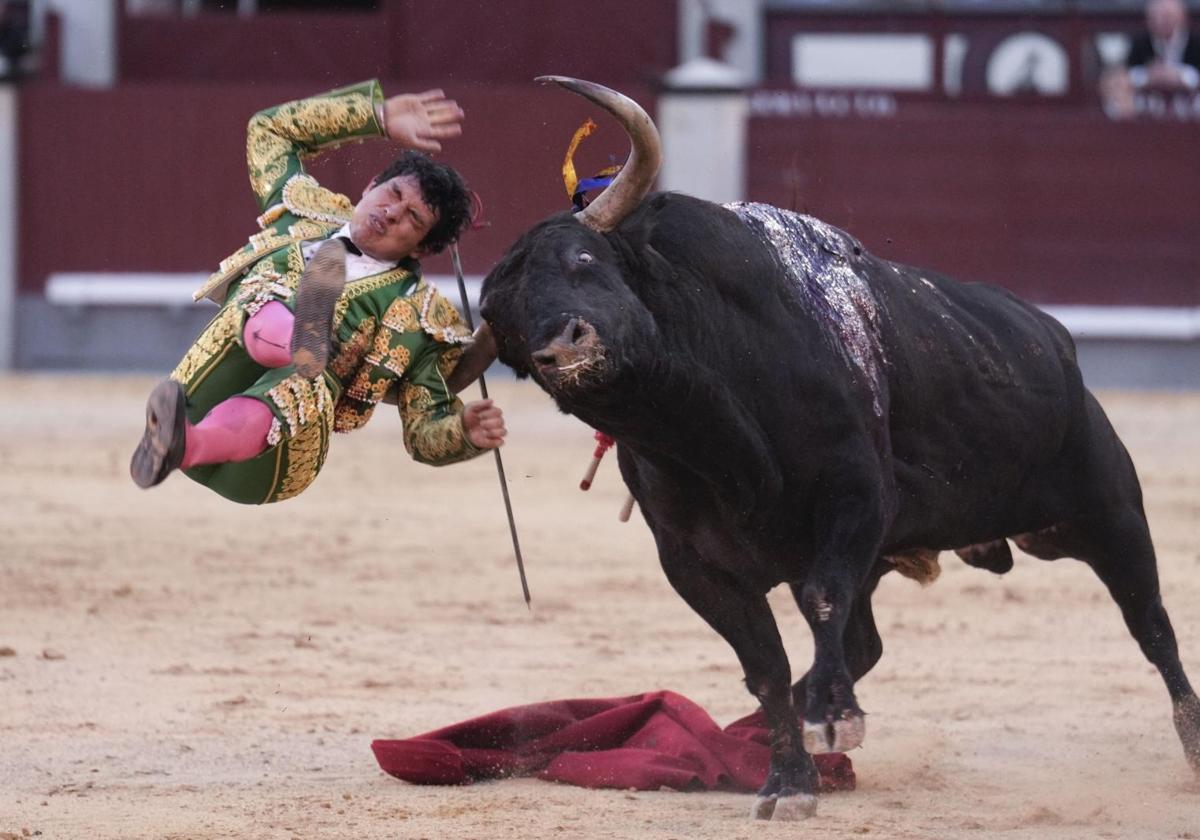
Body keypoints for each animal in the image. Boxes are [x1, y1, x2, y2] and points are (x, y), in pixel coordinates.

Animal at [472, 80, 1195, 820]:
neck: (712, 433)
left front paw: (832, 718)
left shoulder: (857, 499)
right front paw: (788, 778)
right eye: (504, 324)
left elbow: (821, 601)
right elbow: (765, 666)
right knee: (865, 640)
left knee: (1152, 624)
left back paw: (1192, 742)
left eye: (584, 261)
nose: (563, 347)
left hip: (1108, 512)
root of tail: (1055, 338)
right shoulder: (694, 564)